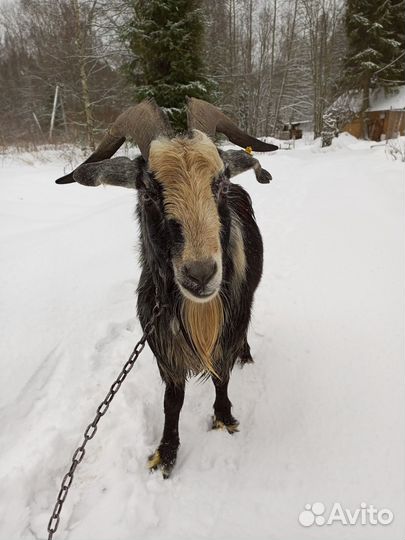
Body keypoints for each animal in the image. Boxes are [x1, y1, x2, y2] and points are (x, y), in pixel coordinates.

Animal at [56, 98, 278, 476]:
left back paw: (246, 355)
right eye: (147, 191)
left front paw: (224, 418)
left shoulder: (229, 323)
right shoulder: (160, 339)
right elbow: (172, 399)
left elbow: (221, 377)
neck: (197, 310)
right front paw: (166, 452)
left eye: (219, 185)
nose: (200, 274)